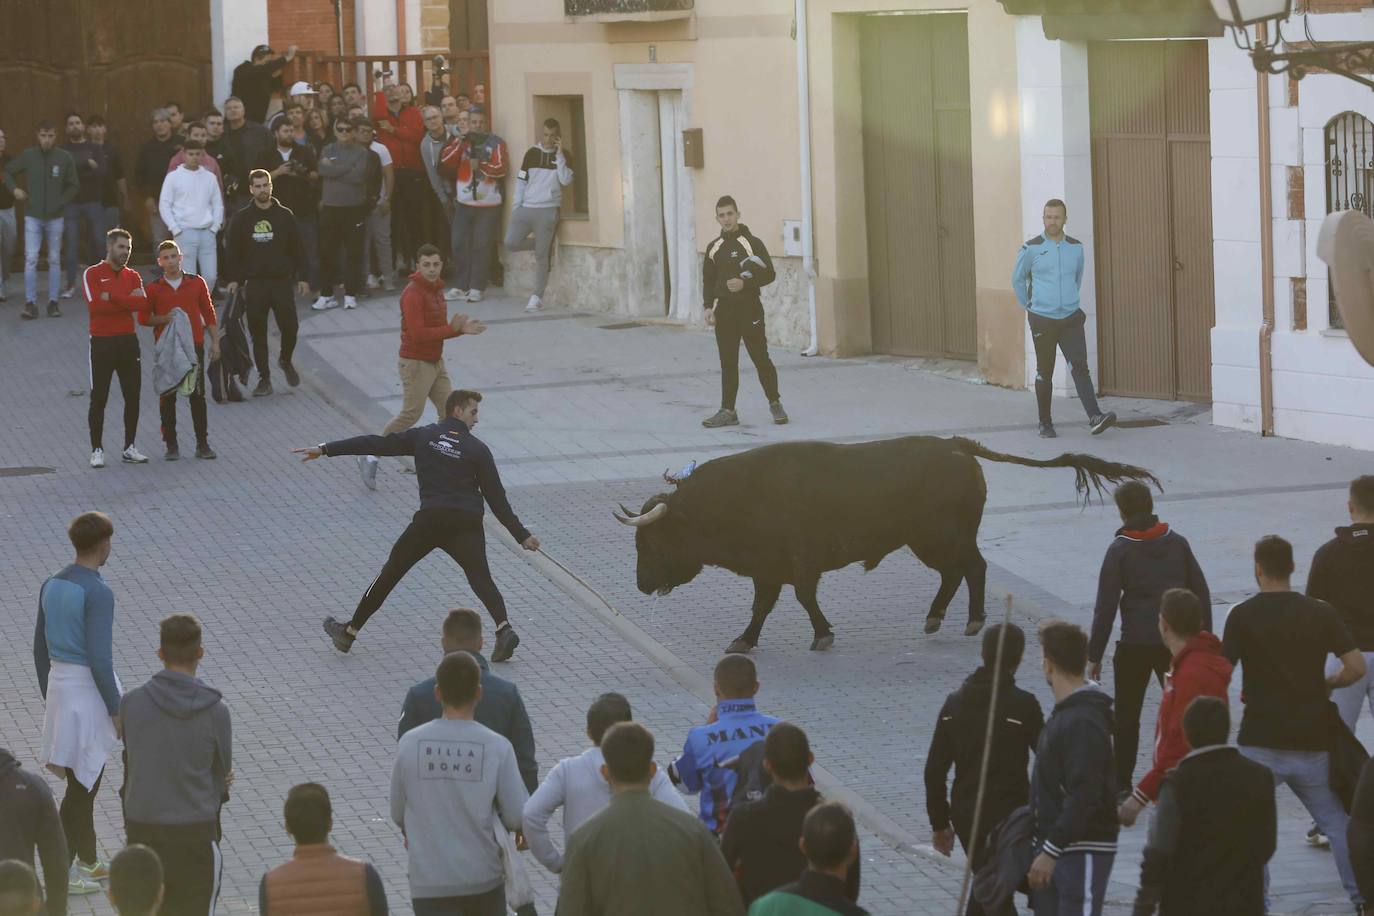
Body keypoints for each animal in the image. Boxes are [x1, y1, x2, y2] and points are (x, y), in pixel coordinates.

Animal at [615, 436, 1159, 650]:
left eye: (653, 540)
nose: (639, 586)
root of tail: (956, 445)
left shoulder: (798, 563)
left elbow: (802, 597)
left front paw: (822, 634)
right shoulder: (768, 569)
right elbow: (763, 606)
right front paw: (744, 640)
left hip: (941, 538)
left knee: (973, 568)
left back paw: (971, 620)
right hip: (929, 542)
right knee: (957, 572)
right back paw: (937, 617)